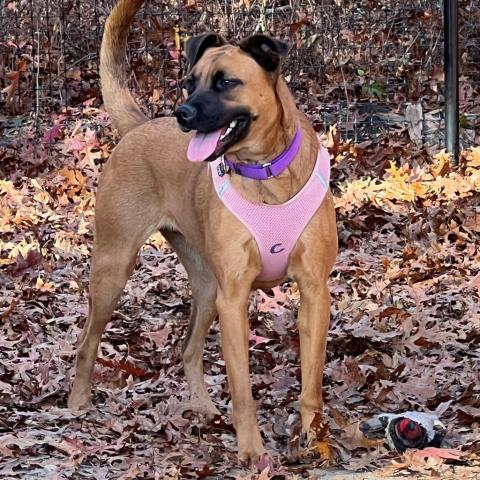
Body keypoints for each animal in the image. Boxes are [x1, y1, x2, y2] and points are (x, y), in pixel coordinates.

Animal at [68, 0, 338, 466]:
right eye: (190, 83)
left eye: (227, 81)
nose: (184, 114)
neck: (266, 174)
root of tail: (139, 126)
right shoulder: (234, 300)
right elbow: (243, 390)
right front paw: (251, 450)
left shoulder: (314, 293)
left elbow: (311, 382)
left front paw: (313, 437)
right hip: (114, 268)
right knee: (87, 341)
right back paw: (78, 404)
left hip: (207, 286)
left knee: (189, 349)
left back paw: (203, 408)